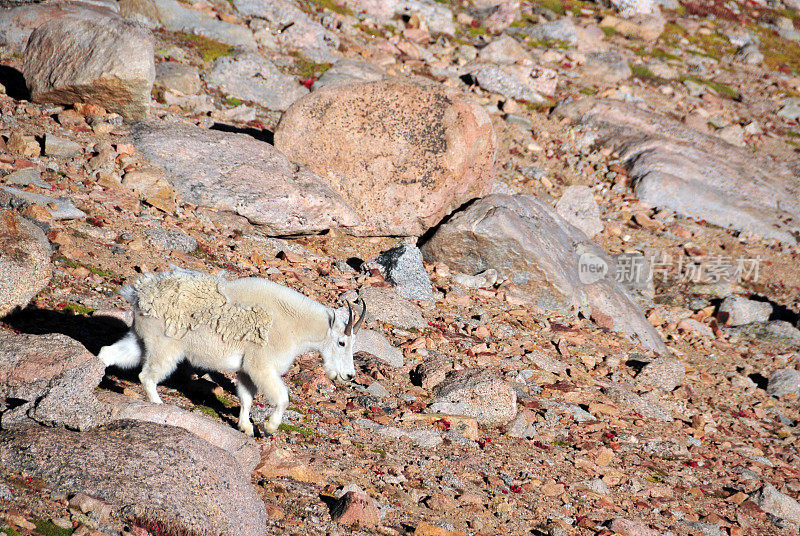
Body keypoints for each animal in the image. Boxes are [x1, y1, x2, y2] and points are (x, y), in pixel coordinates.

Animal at [96, 268, 366, 436]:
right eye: (342, 343)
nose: (349, 376)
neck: (293, 325)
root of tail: (140, 293)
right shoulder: (261, 365)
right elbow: (282, 398)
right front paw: (269, 427)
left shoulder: (247, 369)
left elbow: (246, 398)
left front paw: (245, 427)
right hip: (166, 346)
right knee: (147, 376)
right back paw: (159, 405)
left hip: (140, 339)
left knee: (109, 353)